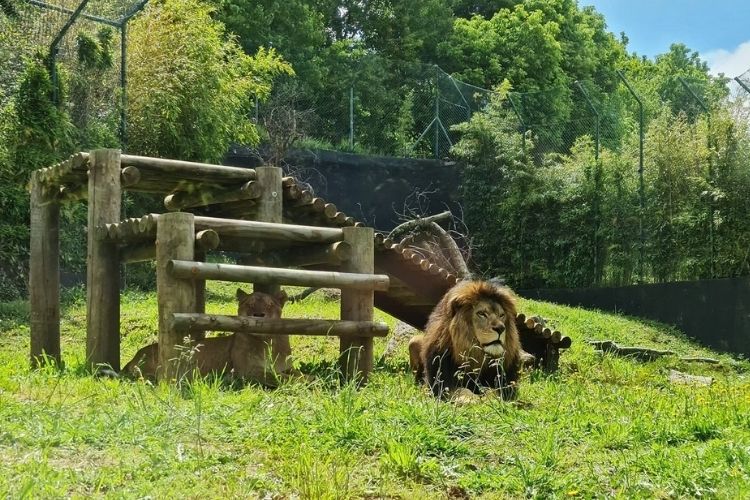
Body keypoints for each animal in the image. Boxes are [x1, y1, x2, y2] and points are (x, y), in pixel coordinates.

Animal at [123, 288, 300, 384]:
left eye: (269, 305)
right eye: (250, 304)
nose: (258, 315)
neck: (267, 340)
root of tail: (135, 356)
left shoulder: (287, 367)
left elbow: (294, 374)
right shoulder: (247, 371)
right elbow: (279, 377)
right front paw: (305, 382)